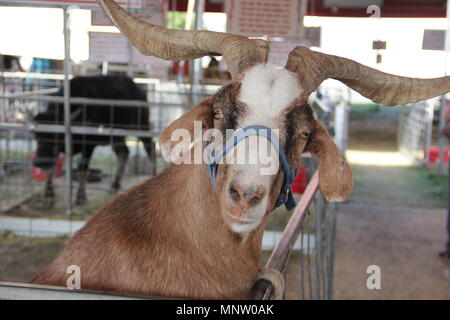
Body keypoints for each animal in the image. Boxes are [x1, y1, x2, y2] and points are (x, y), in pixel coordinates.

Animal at [33, 74, 156, 208]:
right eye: (36, 135)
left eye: (57, 136)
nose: (39, 162)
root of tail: (139, 89)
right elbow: (51, 171)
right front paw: (48, 197)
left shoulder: (88, 146)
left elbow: (82, 170)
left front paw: (81, 197)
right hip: (116, 136)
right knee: (124, 152)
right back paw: (115, 185)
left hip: (142, 126)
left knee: (150, 147)